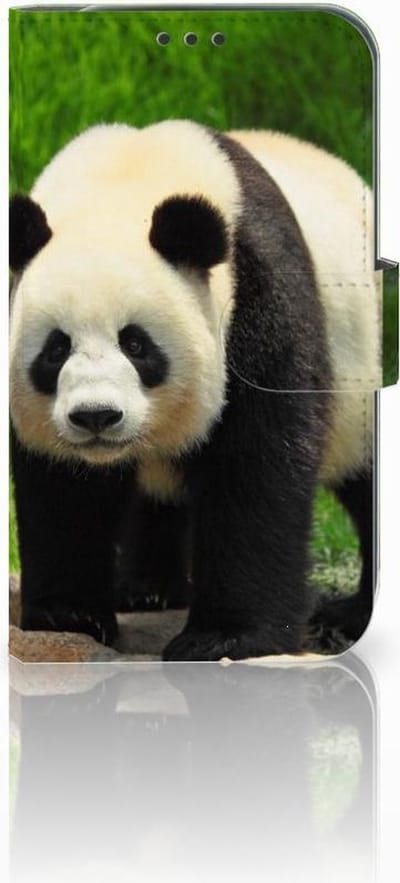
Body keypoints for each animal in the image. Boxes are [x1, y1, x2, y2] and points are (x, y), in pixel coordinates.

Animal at [9, 120, 380, 660]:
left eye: (136, 344)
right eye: (56, 349)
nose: (96, 416)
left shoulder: (257, 294)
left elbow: (256, 464)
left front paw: (225, 636)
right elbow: (62, 487)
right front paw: (69, 616)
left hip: (360, 371)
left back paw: (348, 616)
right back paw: (147, 590)